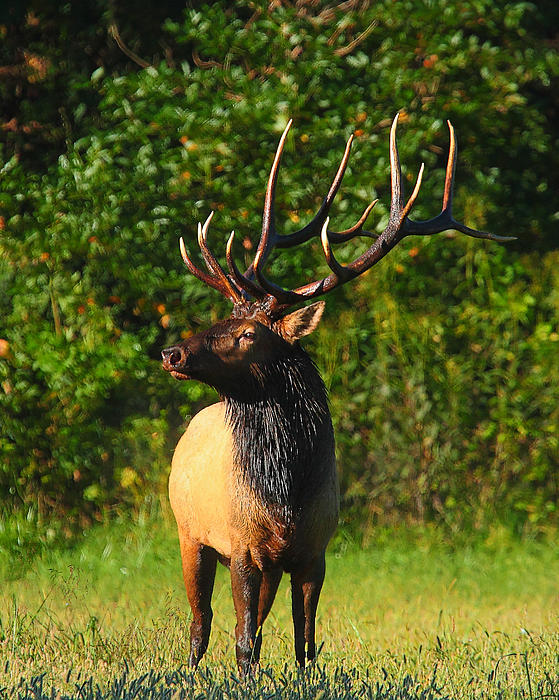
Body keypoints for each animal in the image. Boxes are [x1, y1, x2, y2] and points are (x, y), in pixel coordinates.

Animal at [161, 113, 512, 672]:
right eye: (223, 320)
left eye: (247, 333)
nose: (172, 352)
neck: (286, 495)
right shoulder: (241, 544)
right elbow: (243, 641)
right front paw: (243, 679)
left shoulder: (314, 551)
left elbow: (302, 642)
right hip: (188, 532)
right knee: (200, 623)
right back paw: (190, 674)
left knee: (239, 622)